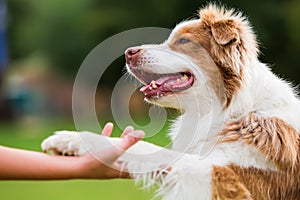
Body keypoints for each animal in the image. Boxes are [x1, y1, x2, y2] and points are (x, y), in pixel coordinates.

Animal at [41, 3, 300, 199]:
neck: (233, 110)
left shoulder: (228, 179)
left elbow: (152, 150)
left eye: (184, 42)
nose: (128, 53)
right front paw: (69, 140)